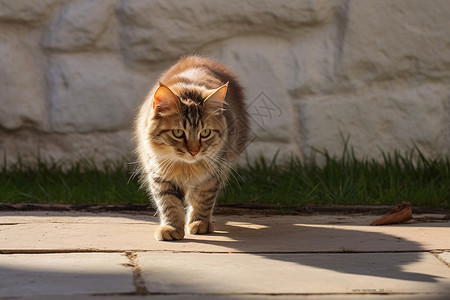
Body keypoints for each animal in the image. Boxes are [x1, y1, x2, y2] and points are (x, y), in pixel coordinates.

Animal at [135, 55, 251, 240]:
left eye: (205, 133)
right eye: (178, 133)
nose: (194, 151)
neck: (186, 167)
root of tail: (199, 59)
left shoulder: (211, 175)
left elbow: (202, 200)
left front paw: (200, 223)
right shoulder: (159, 175)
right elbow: (169, 204)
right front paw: (172, 228)